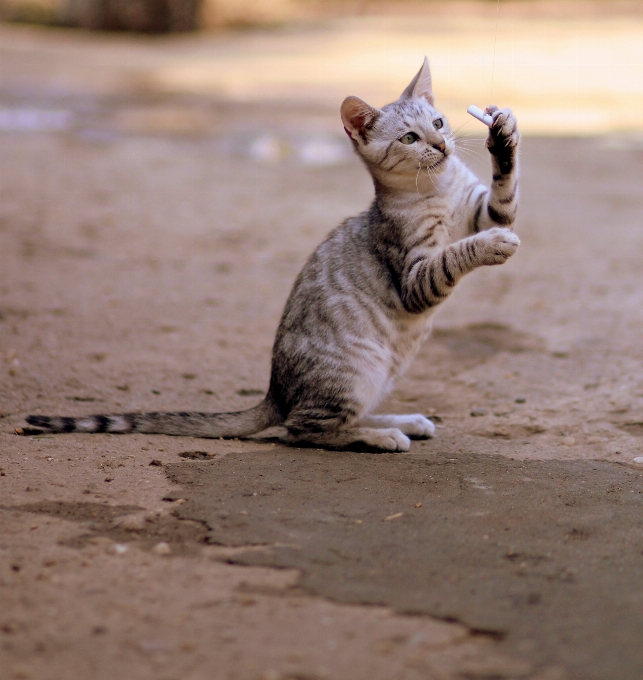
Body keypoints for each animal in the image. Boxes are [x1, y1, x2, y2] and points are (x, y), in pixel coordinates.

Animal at [25, 58, 520, 452]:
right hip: (357, 371)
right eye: (410, 139)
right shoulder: (415, 276)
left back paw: (402, 420)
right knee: (302, 429)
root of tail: (275, 393)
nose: (441, 146)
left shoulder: (483, 208)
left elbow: (504, 195)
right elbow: (454, 253)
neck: (437, 189)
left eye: (437, 124)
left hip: (379, 377)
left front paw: (504, 134)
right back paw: (381, 436)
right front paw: (493, 245)